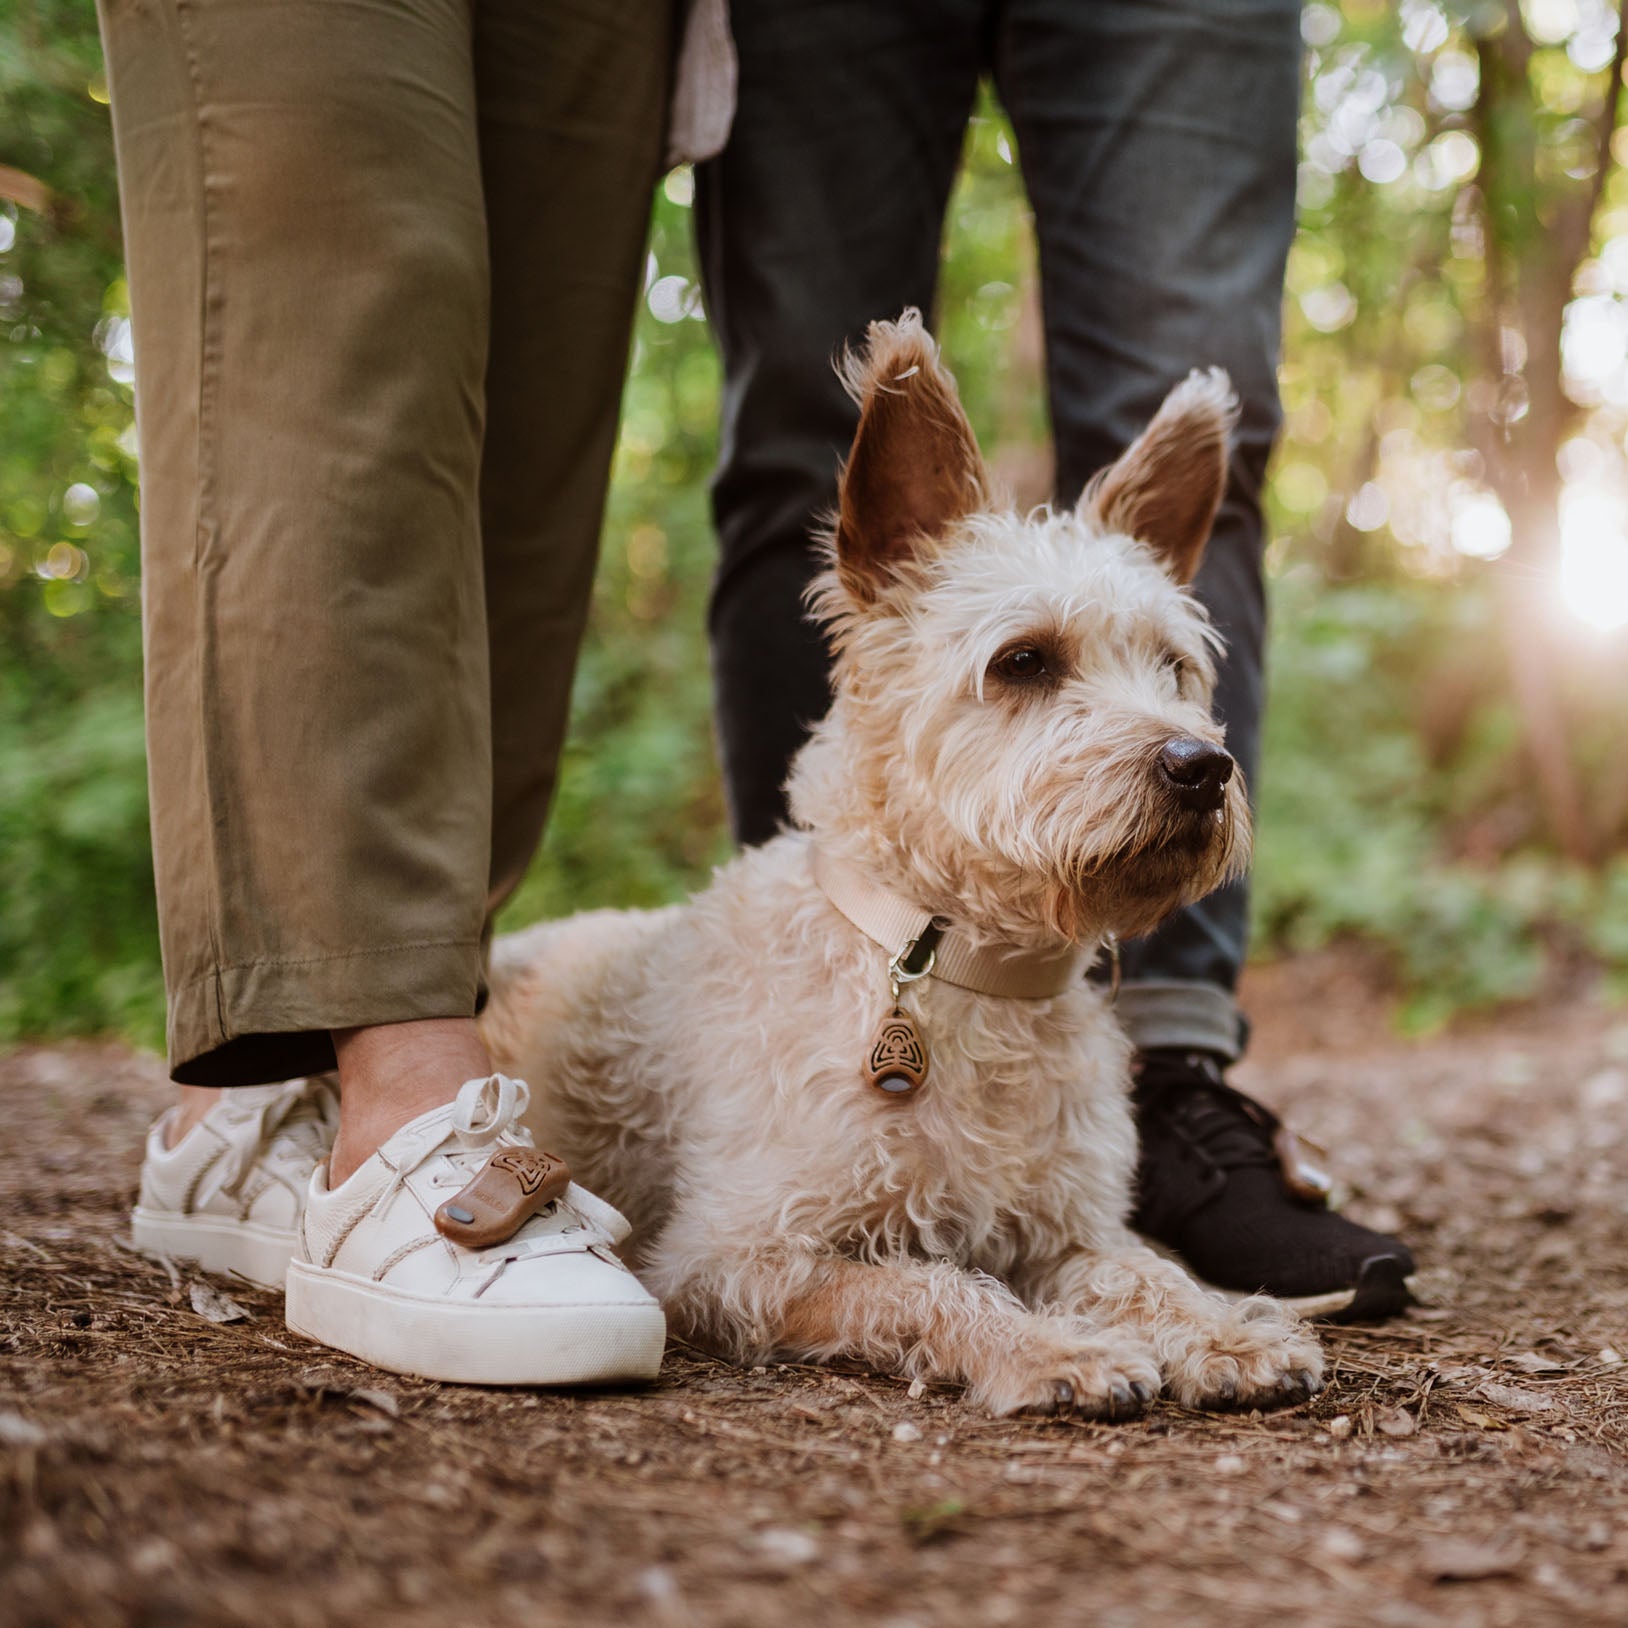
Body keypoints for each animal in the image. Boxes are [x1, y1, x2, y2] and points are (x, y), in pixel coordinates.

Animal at [481, 310, 1321, 1419]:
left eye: (1173, 667)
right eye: (1023, 661)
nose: (1202, 767)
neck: (964, 970)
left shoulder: (1067, 1230)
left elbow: (1147, 1272)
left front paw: (1225, 1330)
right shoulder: (733, 1255)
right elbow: (931, 1284)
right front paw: (1050, 1348)